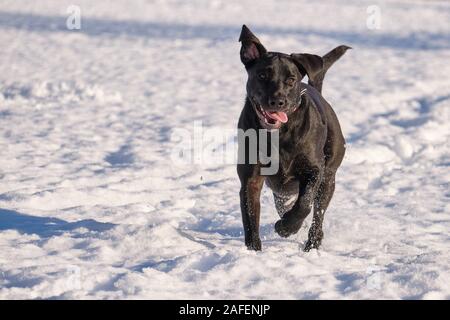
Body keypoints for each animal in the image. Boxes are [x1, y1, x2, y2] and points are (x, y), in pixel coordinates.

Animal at [237, 25, 350, 251]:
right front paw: (254, 251)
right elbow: (250, 217)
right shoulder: (250, 178)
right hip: (282, 190)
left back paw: (312, 243)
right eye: (262, 75)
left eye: (291, 79)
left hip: (329, 176)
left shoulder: (314, 170)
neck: (278, 136)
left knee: (318, 212)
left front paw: (286, 227)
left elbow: (305, 203)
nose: (277, 101)